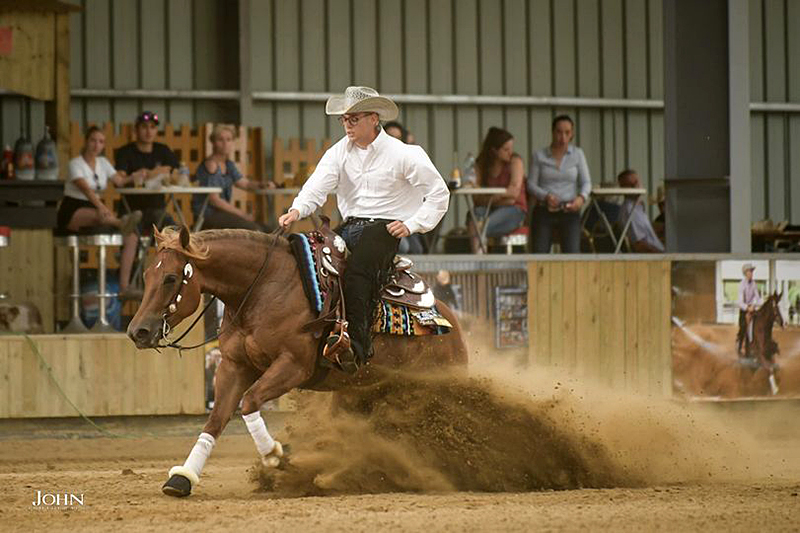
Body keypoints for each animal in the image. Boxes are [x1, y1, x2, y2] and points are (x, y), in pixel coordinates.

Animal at [126, 224, 468, 494]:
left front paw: (278, 454)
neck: (263, 289)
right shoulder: (234, 366)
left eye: (171, 278)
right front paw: (183, 478)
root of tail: (452, 326)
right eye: (147, 274)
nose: (137, 331)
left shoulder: (293, 366)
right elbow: (216, 419)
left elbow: (249, 402)